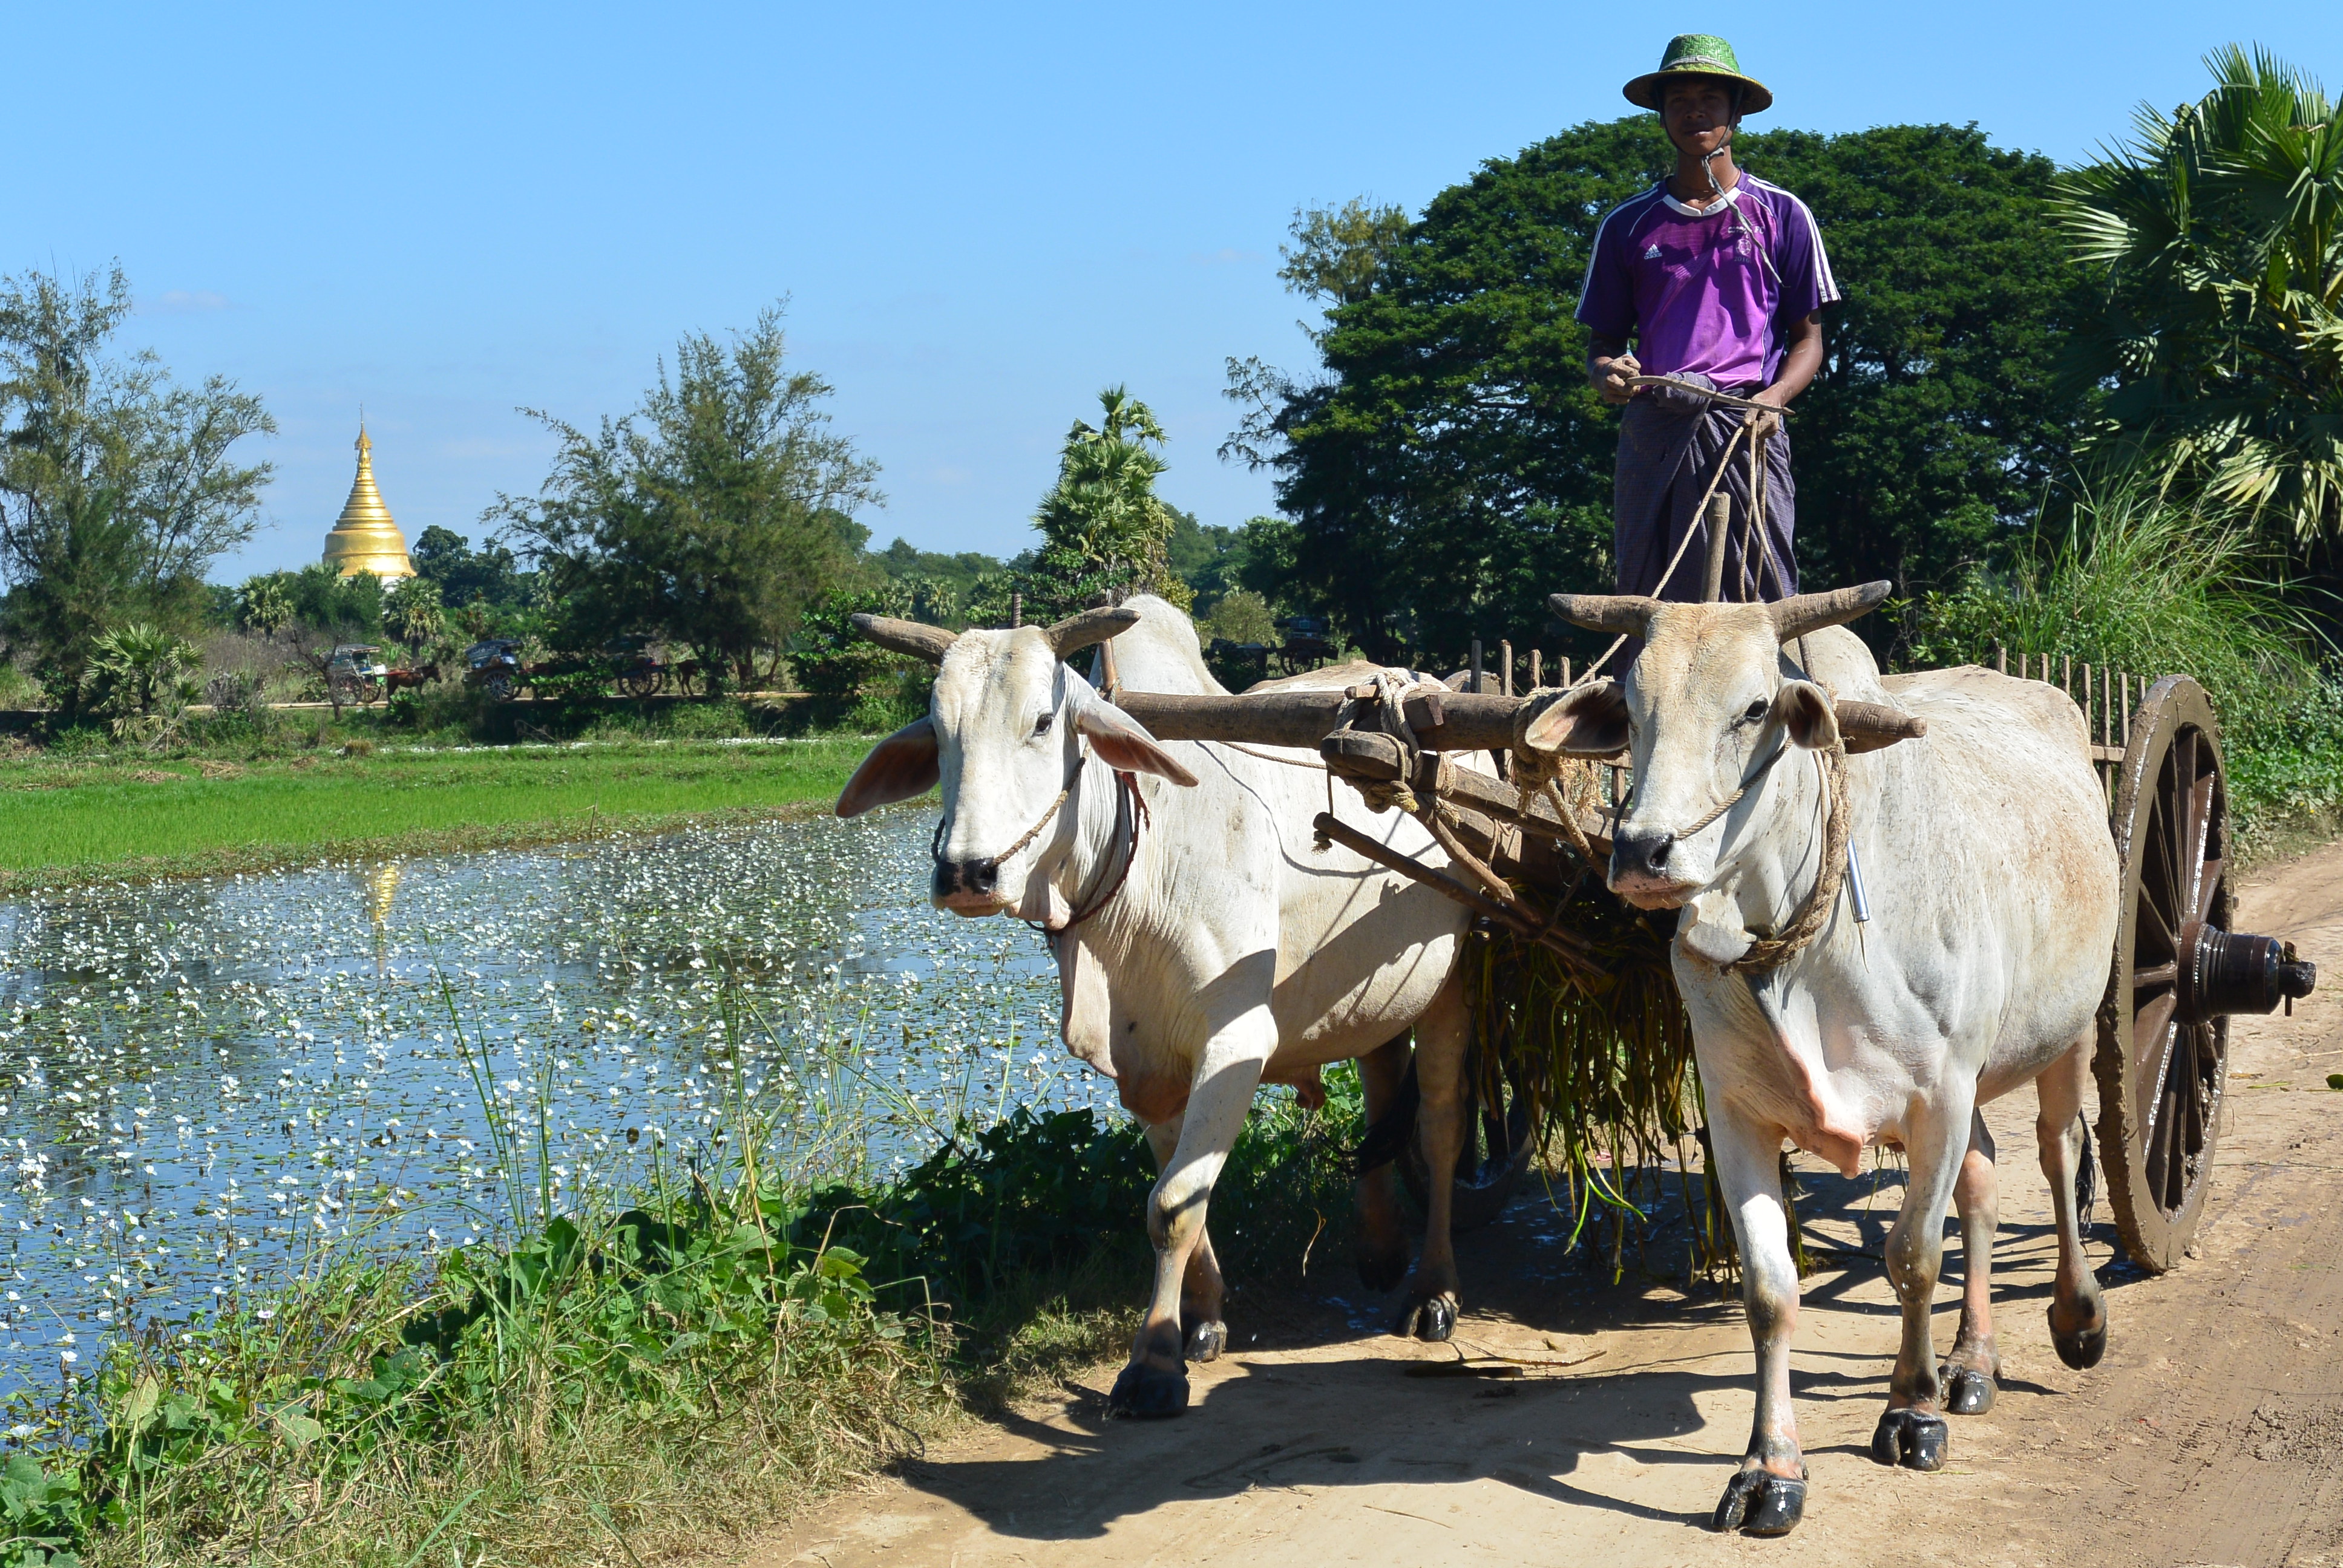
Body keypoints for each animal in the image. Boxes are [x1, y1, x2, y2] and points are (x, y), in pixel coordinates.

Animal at [836, 596, 1482, 1417]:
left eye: (1042, 723)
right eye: (939, 732)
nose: (965, 873)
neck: (1138, 865)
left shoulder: (1235, 1042)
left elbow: (1173, 1203)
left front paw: (1152, 1362)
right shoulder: (1138, 1064)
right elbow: (1181, 1192)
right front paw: (1199, 1320)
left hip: (1456, 978)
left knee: (1439, 1128)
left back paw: (1433, 1289)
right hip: (1378, 997)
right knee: (1377, 1094)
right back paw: (1378, 1249)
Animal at [1530, 583, 2117, 1537]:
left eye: (1753, 709)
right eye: (1633, 712)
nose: (1642, 853)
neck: (1801, 938)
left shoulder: (1937, 1095)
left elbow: (1912, 1256)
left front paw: (1910, 1410)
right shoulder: (1735, 1112)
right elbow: (1770, 1290)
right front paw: (1770, 1469)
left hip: (2069, 1027)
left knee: (2061, 1153)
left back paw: (2076, 1315)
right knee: (1986, 1180)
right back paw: (1972, 1361)